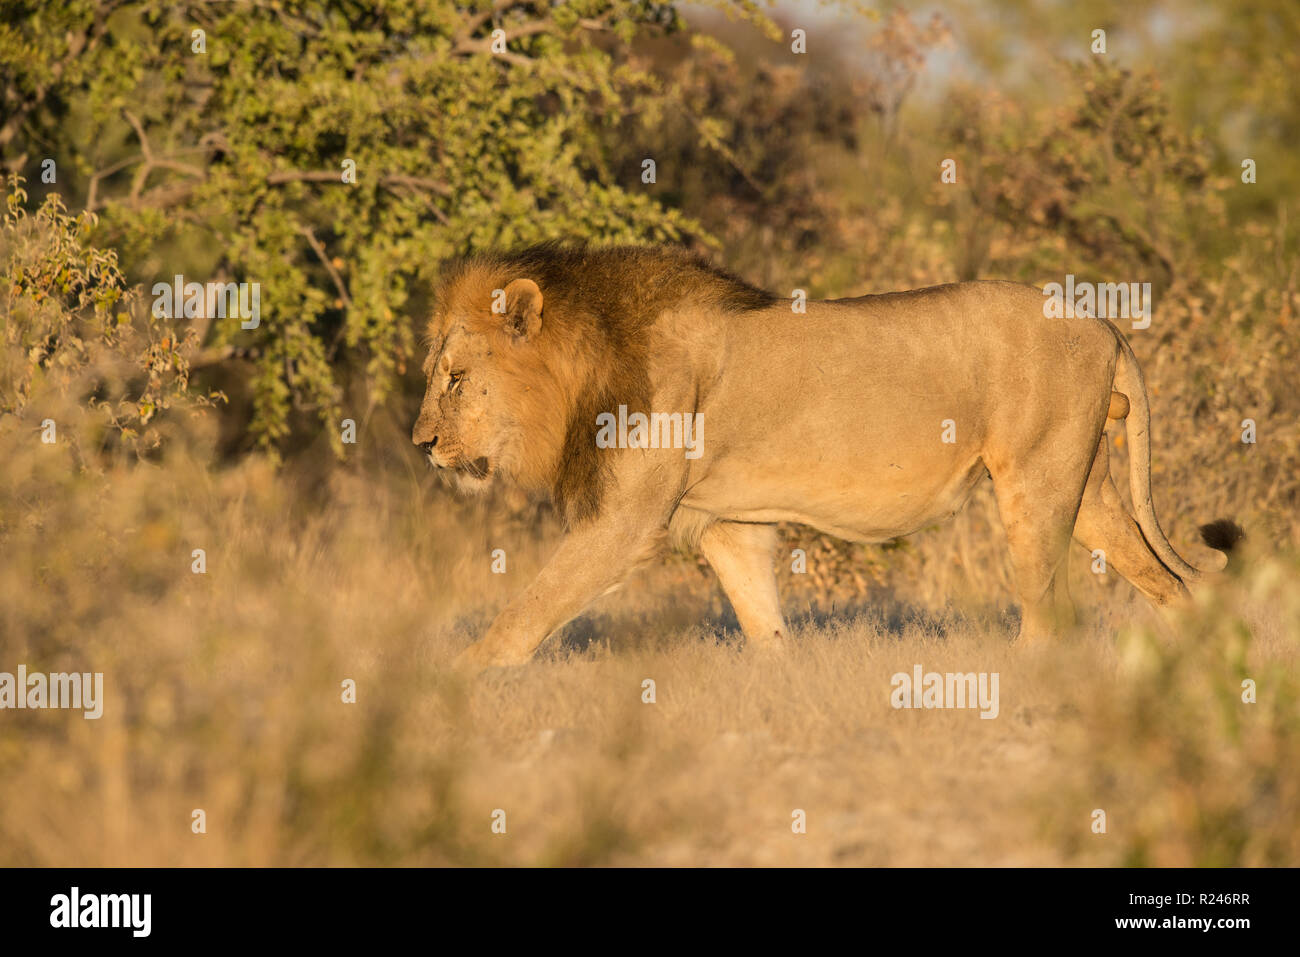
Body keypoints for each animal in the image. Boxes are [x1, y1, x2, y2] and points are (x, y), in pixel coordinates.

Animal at [413, 242, 1239, 669]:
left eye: (454, 379)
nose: (422, 444)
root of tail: (1104, 322)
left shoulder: (622, 520)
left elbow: (527, 610)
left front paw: (456, 687)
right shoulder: (728, 520)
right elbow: (762, 618)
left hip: (1034, 484)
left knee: (1049, 611)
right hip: (1086, 485)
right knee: (1170, 585)